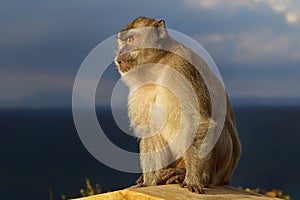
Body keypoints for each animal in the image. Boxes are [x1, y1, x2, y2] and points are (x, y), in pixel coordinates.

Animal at [113, 17, 241, 194]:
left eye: (131, 39)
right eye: (123, 41)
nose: (121, 51)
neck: (158, 64)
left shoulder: (182, 67)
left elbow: (197, 122)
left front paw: (194, 179)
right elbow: (150, 129)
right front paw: (149, 182)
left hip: (222, 167)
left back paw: (192, 175)